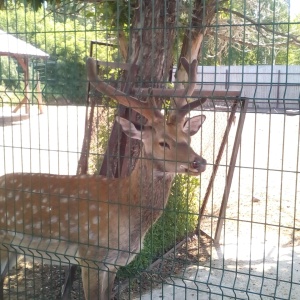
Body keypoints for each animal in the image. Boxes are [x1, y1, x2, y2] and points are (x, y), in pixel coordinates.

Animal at [0, 56, 206, 300]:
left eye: (188, 138)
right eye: (163, 142)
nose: (199, 162)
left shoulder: (113, 263)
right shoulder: (90, 255)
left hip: (13, 250)